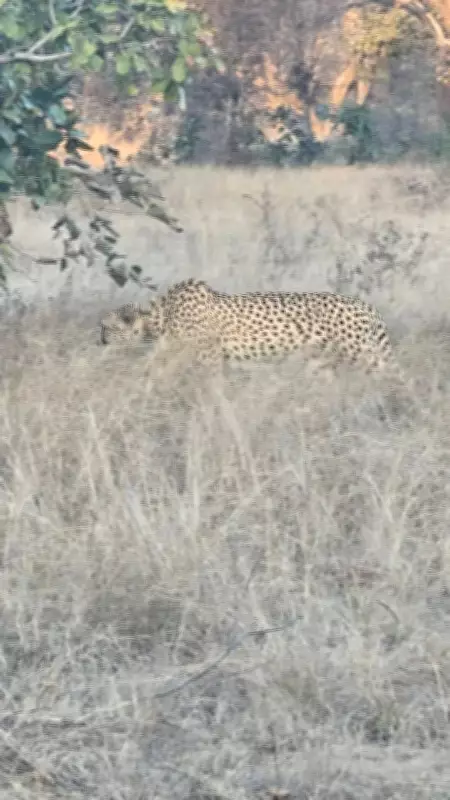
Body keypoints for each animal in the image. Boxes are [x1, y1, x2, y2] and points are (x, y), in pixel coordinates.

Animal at [99, 277, 399, 376]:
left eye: (106, 326)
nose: (99, 340)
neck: (162, 316)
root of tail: (366, 304)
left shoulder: (209, 361)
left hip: (365, 358)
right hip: (320, 364)